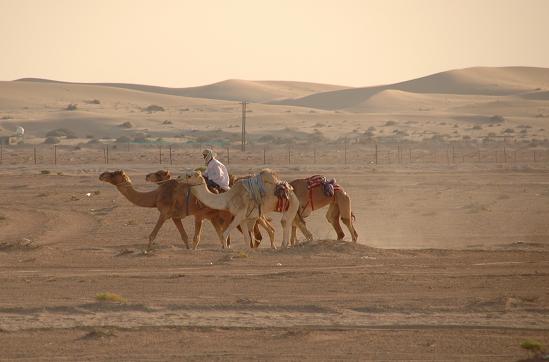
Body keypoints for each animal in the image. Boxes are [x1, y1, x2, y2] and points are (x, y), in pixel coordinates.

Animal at [99, 170, 232, 250]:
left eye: (114, 173)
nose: (102, 175)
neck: (156, 195)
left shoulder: (164, 213)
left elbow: (152, 235)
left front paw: (147, 251)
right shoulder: (175, 216)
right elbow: (184, 237)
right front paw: (188, 249)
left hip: (208, 215)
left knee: (216, 234)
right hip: (213, 216)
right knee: (222, 234)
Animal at [146, 170, 276, 249]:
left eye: (159, 173)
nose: (147, 176)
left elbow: (219, 236)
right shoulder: (217, 218)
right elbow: (223, 235)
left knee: (264, 232)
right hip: (256, 215)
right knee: (264, 232)